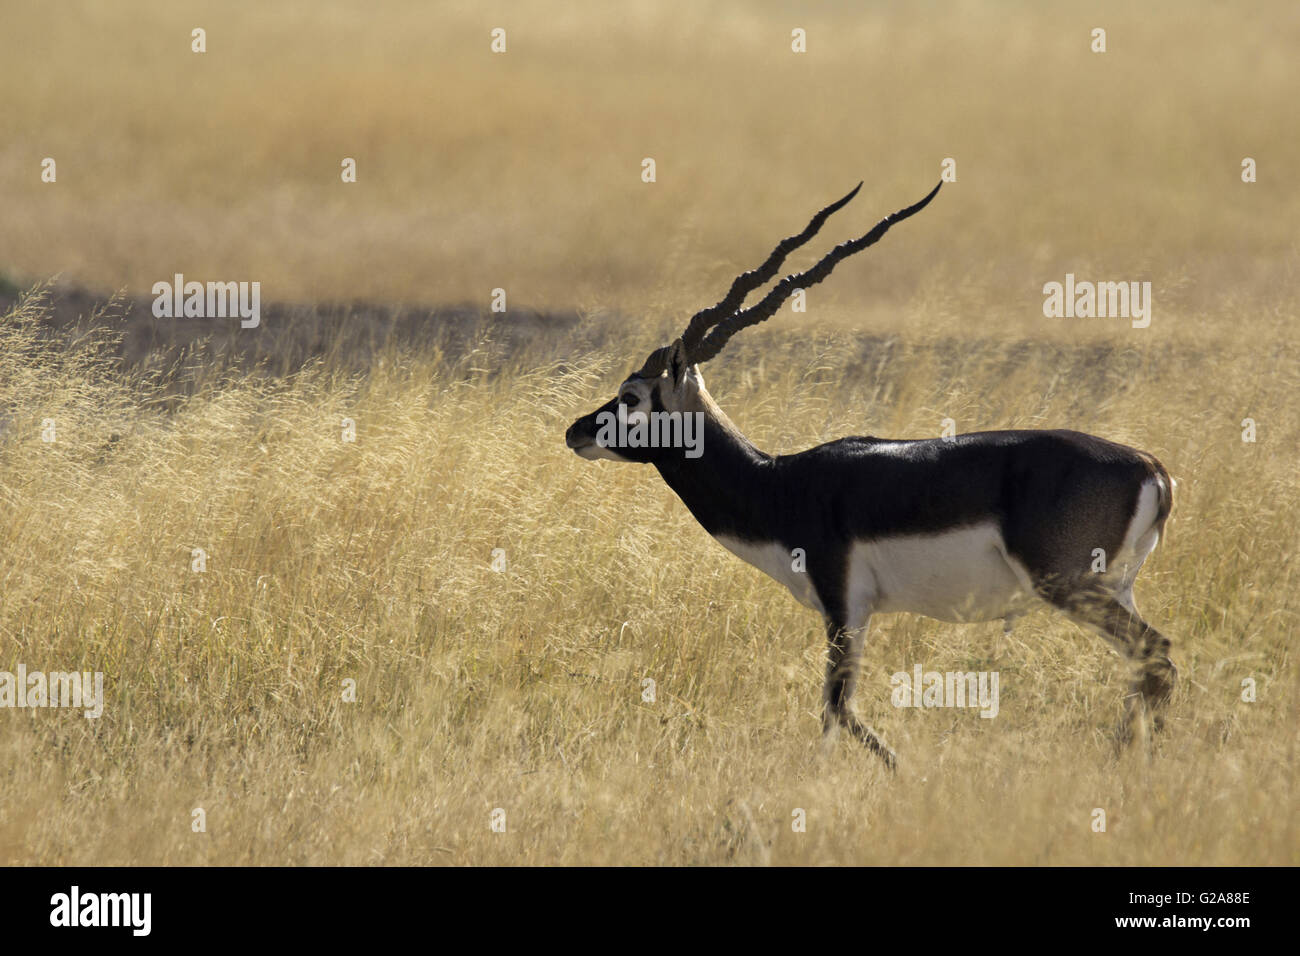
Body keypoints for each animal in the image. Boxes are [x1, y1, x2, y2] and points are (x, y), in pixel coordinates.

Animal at [564, 180, 1175, 770]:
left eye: (631, 395)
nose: (576, 432)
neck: (780, 484)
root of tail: (1152, 468)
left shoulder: (843, 603)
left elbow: (836, 708)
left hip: (1070, 585)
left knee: (1156, 655)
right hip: (1115, 587)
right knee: (1147, 664)